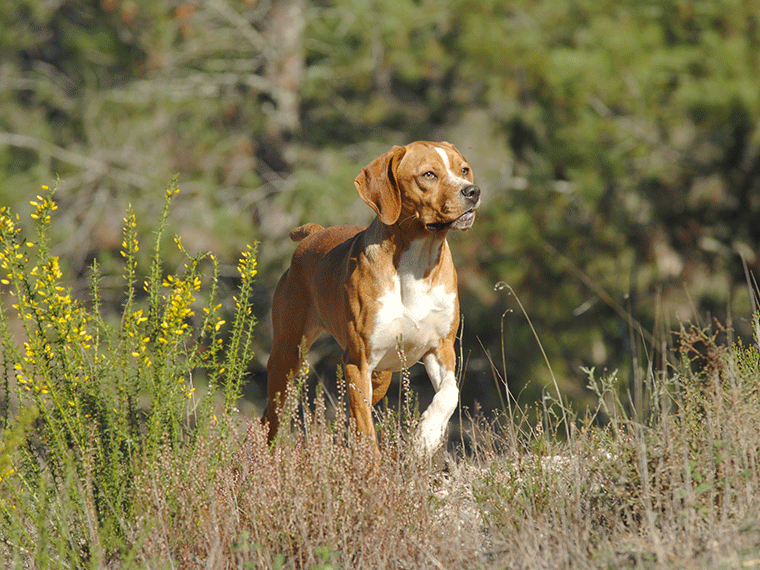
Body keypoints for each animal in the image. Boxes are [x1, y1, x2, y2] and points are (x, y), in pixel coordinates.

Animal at [266, 141, 480, 452]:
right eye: (428, 175)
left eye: (464, 170)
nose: (472, 191)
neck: (416, 264)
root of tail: (313, 235)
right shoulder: (358, 361)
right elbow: (366, 430)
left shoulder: (441, 348)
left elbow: (449, 394)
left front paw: (427, 436)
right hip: (288, 355)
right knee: (271, 415)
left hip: (380, 377)